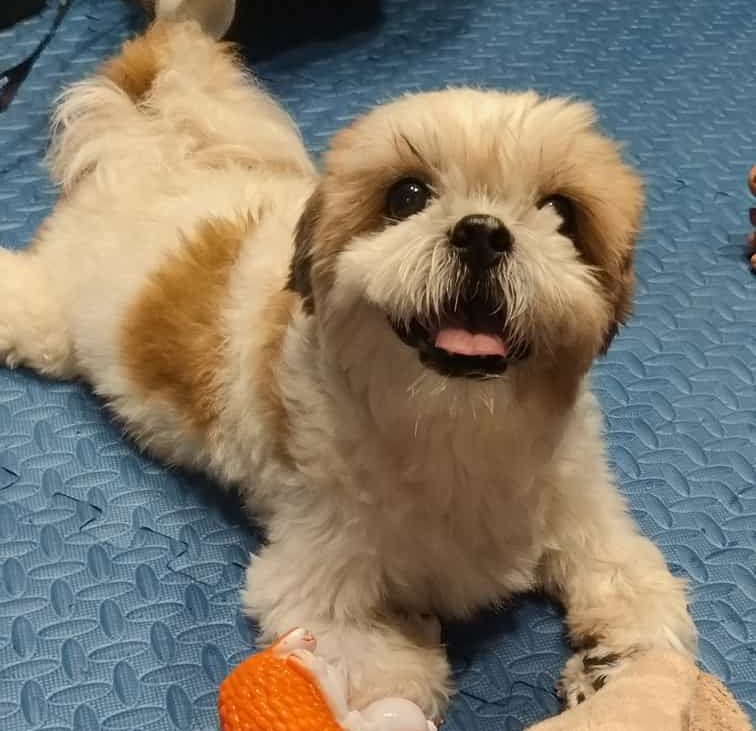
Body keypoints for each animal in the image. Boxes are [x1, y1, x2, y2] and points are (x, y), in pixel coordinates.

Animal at [0, 21, 696, 717]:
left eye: (562, 212)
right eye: (407, 195)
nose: (482, 231)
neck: (456, 425)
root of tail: (148, 156)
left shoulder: (582, 508)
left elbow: (639, 591)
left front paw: (613, 664)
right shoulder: (311, 578)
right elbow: (392, 671)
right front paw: (412, 645)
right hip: (53, 321)